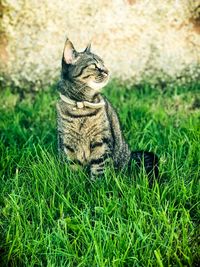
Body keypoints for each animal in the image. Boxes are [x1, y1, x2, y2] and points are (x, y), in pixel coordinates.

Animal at [55, 38, 158, 180]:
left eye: (103, 64)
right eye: (94, 66)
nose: (107, 71)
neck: (81, 104)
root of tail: (130, 155)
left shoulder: (101, 141)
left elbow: (99, 167)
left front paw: (96, 184)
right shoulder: (67, 143)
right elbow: (73, 167)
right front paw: (75, 181)